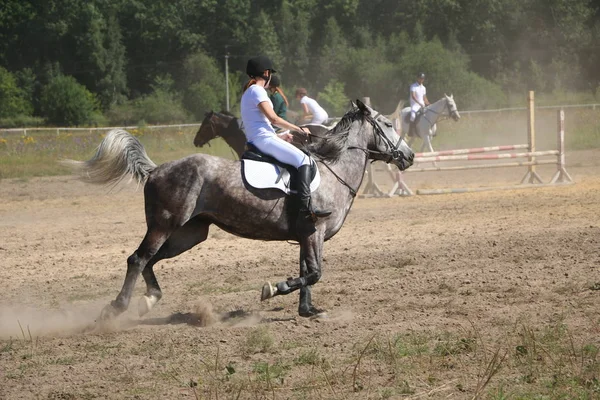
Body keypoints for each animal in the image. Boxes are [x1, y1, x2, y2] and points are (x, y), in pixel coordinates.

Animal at [64, 101, 412, 322]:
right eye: (388, 124)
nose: (408, 156)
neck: (333, 169)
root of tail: (156, 170)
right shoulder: (315, 232)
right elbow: (313, 273)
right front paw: (274, 289)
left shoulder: (306, 236)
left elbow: (307, 272)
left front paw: (308, 311)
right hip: (164, 225)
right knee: (137, 259)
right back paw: (116, 308)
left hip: (190, 233)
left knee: (151, 260)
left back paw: (150, 299)